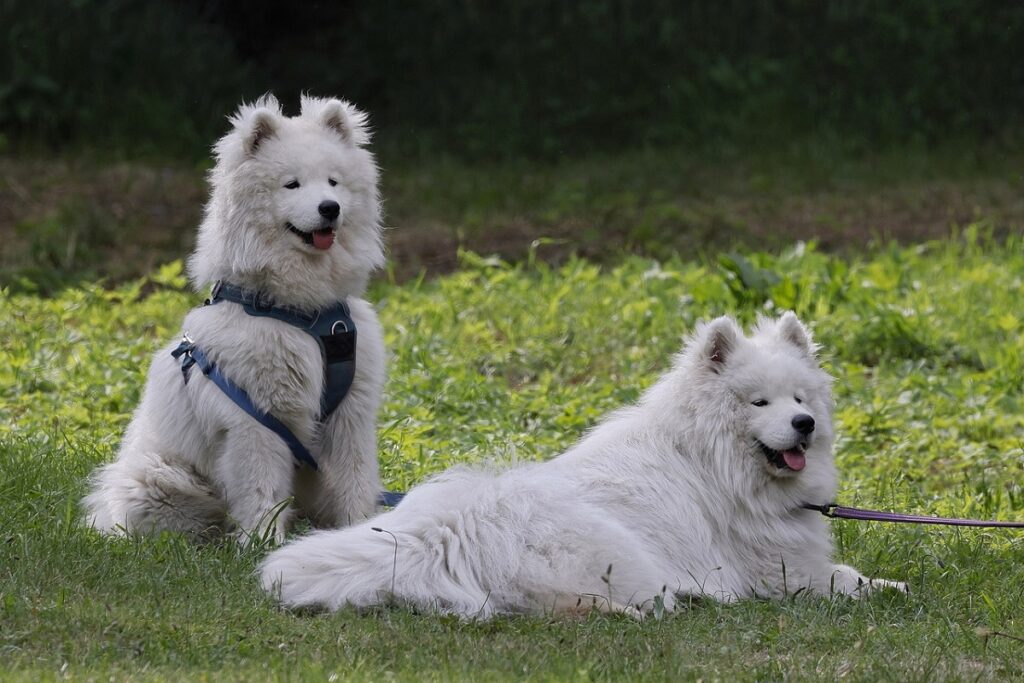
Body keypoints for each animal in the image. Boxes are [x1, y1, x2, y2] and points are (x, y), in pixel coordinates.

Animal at [83, 94, 385, 544]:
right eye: (292, 184)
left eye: (333, 182)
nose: (330, 209)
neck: (301, 312)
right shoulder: (255, 422)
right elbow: (262, 491)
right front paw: (261, 544)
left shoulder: (351, 415)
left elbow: (356, 480)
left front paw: (360, 531)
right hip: (159, 479)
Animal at [262, 313, 905, 618]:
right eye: (760, 403)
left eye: (800, 398)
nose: (805, 425)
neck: (709, 461)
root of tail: (445, 531)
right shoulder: (779, 573)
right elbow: (846, 580)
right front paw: (889, 587)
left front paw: (892, 583)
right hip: (616, 551)